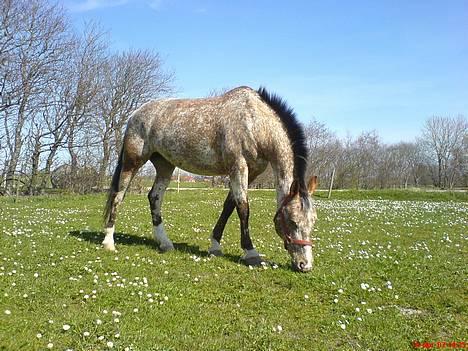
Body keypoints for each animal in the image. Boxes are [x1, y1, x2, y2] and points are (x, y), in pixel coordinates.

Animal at [103, 86, 318, 274]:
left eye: (313, 221)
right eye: (292, 221)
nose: (305, 265)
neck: (254, 122)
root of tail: (135, 114)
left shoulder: (251, 173)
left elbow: (229, 206)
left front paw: (215, 246)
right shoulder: (238, 167)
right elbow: (243, 208)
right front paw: (251, 253)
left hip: (165, 166)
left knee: (154, 197)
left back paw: (165, 243)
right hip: (132, 163)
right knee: (118, 196)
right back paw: (109, 242)